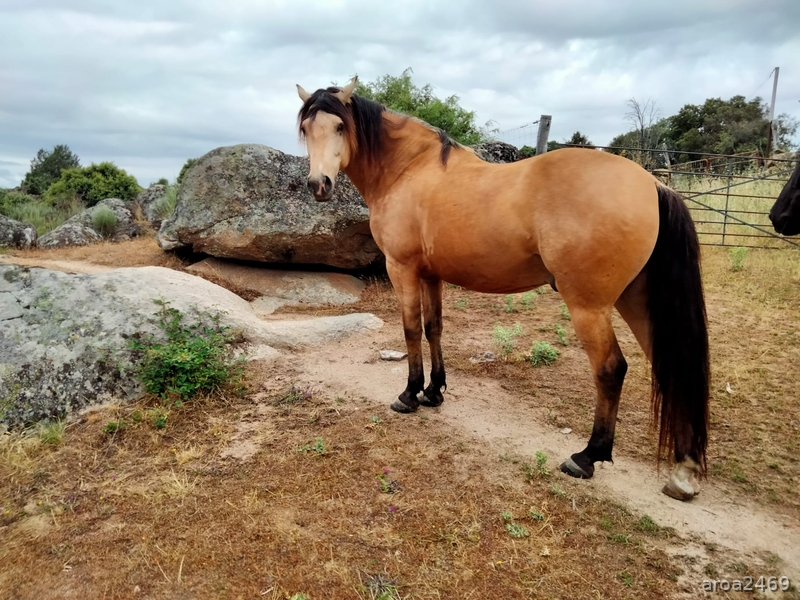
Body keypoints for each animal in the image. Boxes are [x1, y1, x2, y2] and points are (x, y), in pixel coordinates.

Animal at [295, 76, 710, 502]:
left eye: (340, 126)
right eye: (306, 129)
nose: (318, 185)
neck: (408, 170)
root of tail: (653, 184)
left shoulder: (403, 269)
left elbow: (411, 329)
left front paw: (409, 395)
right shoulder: (431, 275)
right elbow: (433, 328)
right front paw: (434, 391)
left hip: (589, 307)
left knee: (612, 369)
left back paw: (587, 456)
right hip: (638, 301)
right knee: (671, 368)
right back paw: (684, 472)